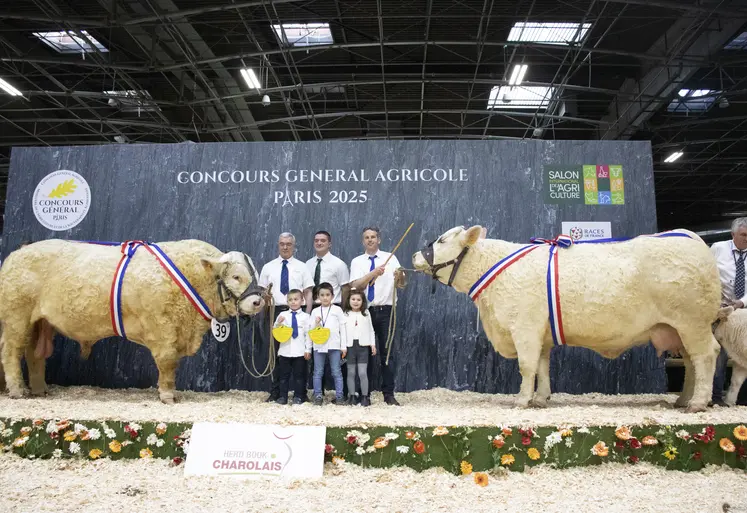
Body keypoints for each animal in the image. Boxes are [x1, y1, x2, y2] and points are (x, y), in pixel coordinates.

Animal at [0, 238, 268, 402]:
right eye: (236, 276)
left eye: (255, 274)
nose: (258, 302)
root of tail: (16, 253)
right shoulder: (162, 328)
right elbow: (167, 362)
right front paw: (168, 396)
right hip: (17, 317)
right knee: (11, 351)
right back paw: (18, 391)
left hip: (40, 323)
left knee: (35, 354)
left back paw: (40, 390)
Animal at [414, 224, 724, 412]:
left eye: (442, 240)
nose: (416, 254)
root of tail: (688, 235)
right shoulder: (541, 334)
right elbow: (542, 367)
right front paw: (541, 399)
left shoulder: (524, 328)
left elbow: (527, 367)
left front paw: (522, 400)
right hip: (678, 328)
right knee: (691, 361)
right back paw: (683, 399)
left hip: (692, 322)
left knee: (706, 355)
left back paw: (697, 403)